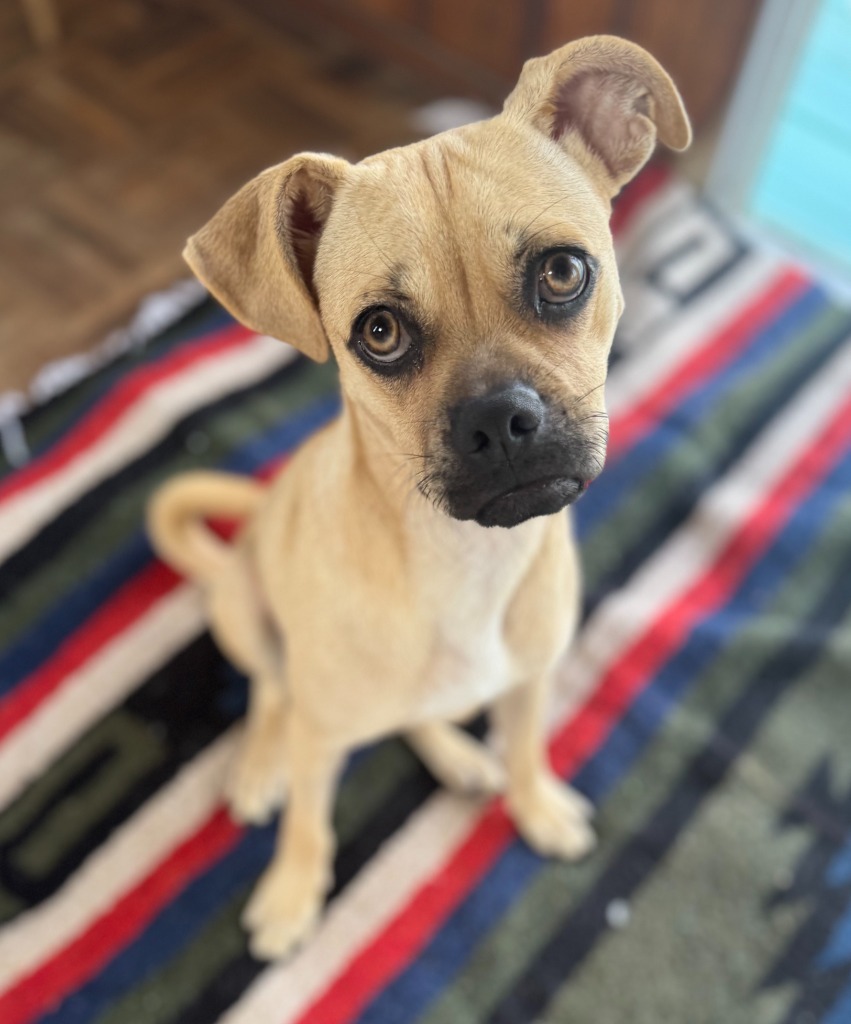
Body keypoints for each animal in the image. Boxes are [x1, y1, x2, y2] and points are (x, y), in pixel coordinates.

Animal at [148, 34, 692, 958]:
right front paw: (292, 897)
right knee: (271, 693)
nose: (499, 421)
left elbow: (526, 748)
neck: (462, 556)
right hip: (247, 618)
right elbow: (310, 823)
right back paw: (258, 764)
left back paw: (459, 757)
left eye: (561, 272)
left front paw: (534, 805)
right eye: (379, 332)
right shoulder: (321, 736)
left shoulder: (530, 680)